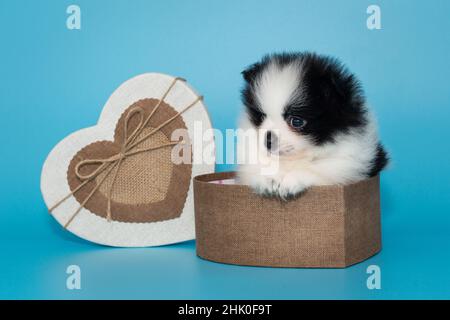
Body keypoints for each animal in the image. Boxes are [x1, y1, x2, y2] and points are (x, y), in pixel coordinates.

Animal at [237, 52, 388, 198]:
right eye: (261, 117)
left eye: (296, 121)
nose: (267, 140)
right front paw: (268, 178)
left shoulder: (350, 163)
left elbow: (319, 169)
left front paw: (291, 180)